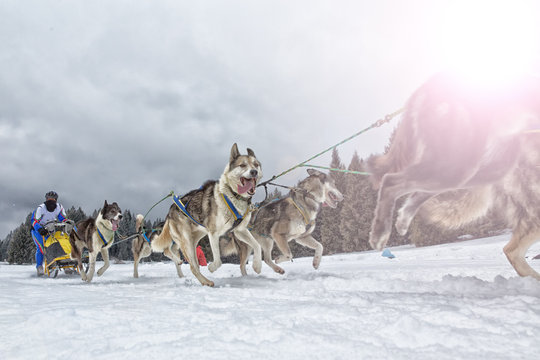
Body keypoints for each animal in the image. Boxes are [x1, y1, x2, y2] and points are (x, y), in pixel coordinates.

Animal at [150, 143, 264, 286]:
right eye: (242, 165)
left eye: (256, 164)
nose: (254, 172)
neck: (232, 195)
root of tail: (171, 209)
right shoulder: (213, 233)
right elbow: (218, 261)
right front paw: (211, 267)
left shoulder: (240, 231)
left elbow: (257, 245)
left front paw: (257, 266)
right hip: (186, 241)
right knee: (192, 266)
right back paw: (206, 282)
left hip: (195, 240)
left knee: (192, 263)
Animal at [368, 70, 540, 278]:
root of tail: (434, 80)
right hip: (459, 166)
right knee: (391, 181)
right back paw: (380, 233)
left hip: (480, 170)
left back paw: (401, 221)